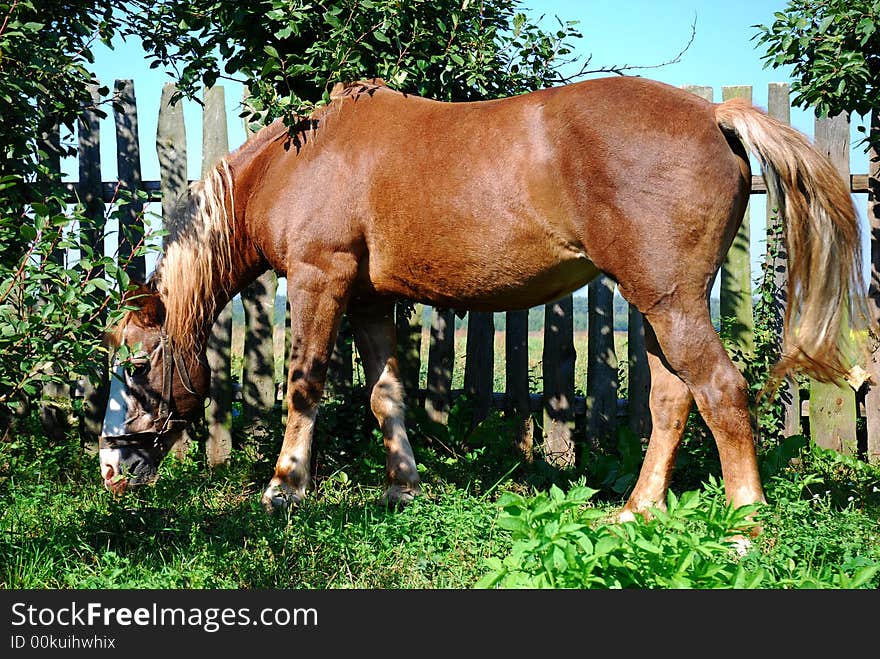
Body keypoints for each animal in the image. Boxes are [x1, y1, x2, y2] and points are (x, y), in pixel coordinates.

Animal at [99, 76, 868, 520]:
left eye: (136, 366)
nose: (109, 468)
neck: (300, 160)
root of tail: (714, 113)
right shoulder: (369, 299)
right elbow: (387, 394)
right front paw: (401, 487)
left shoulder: (322, 279)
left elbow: (305, 385)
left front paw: (285, 486)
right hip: (657, 305)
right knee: (674, 398)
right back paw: (637, 511)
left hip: (671, 301)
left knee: (721, 390)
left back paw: (745, 527)